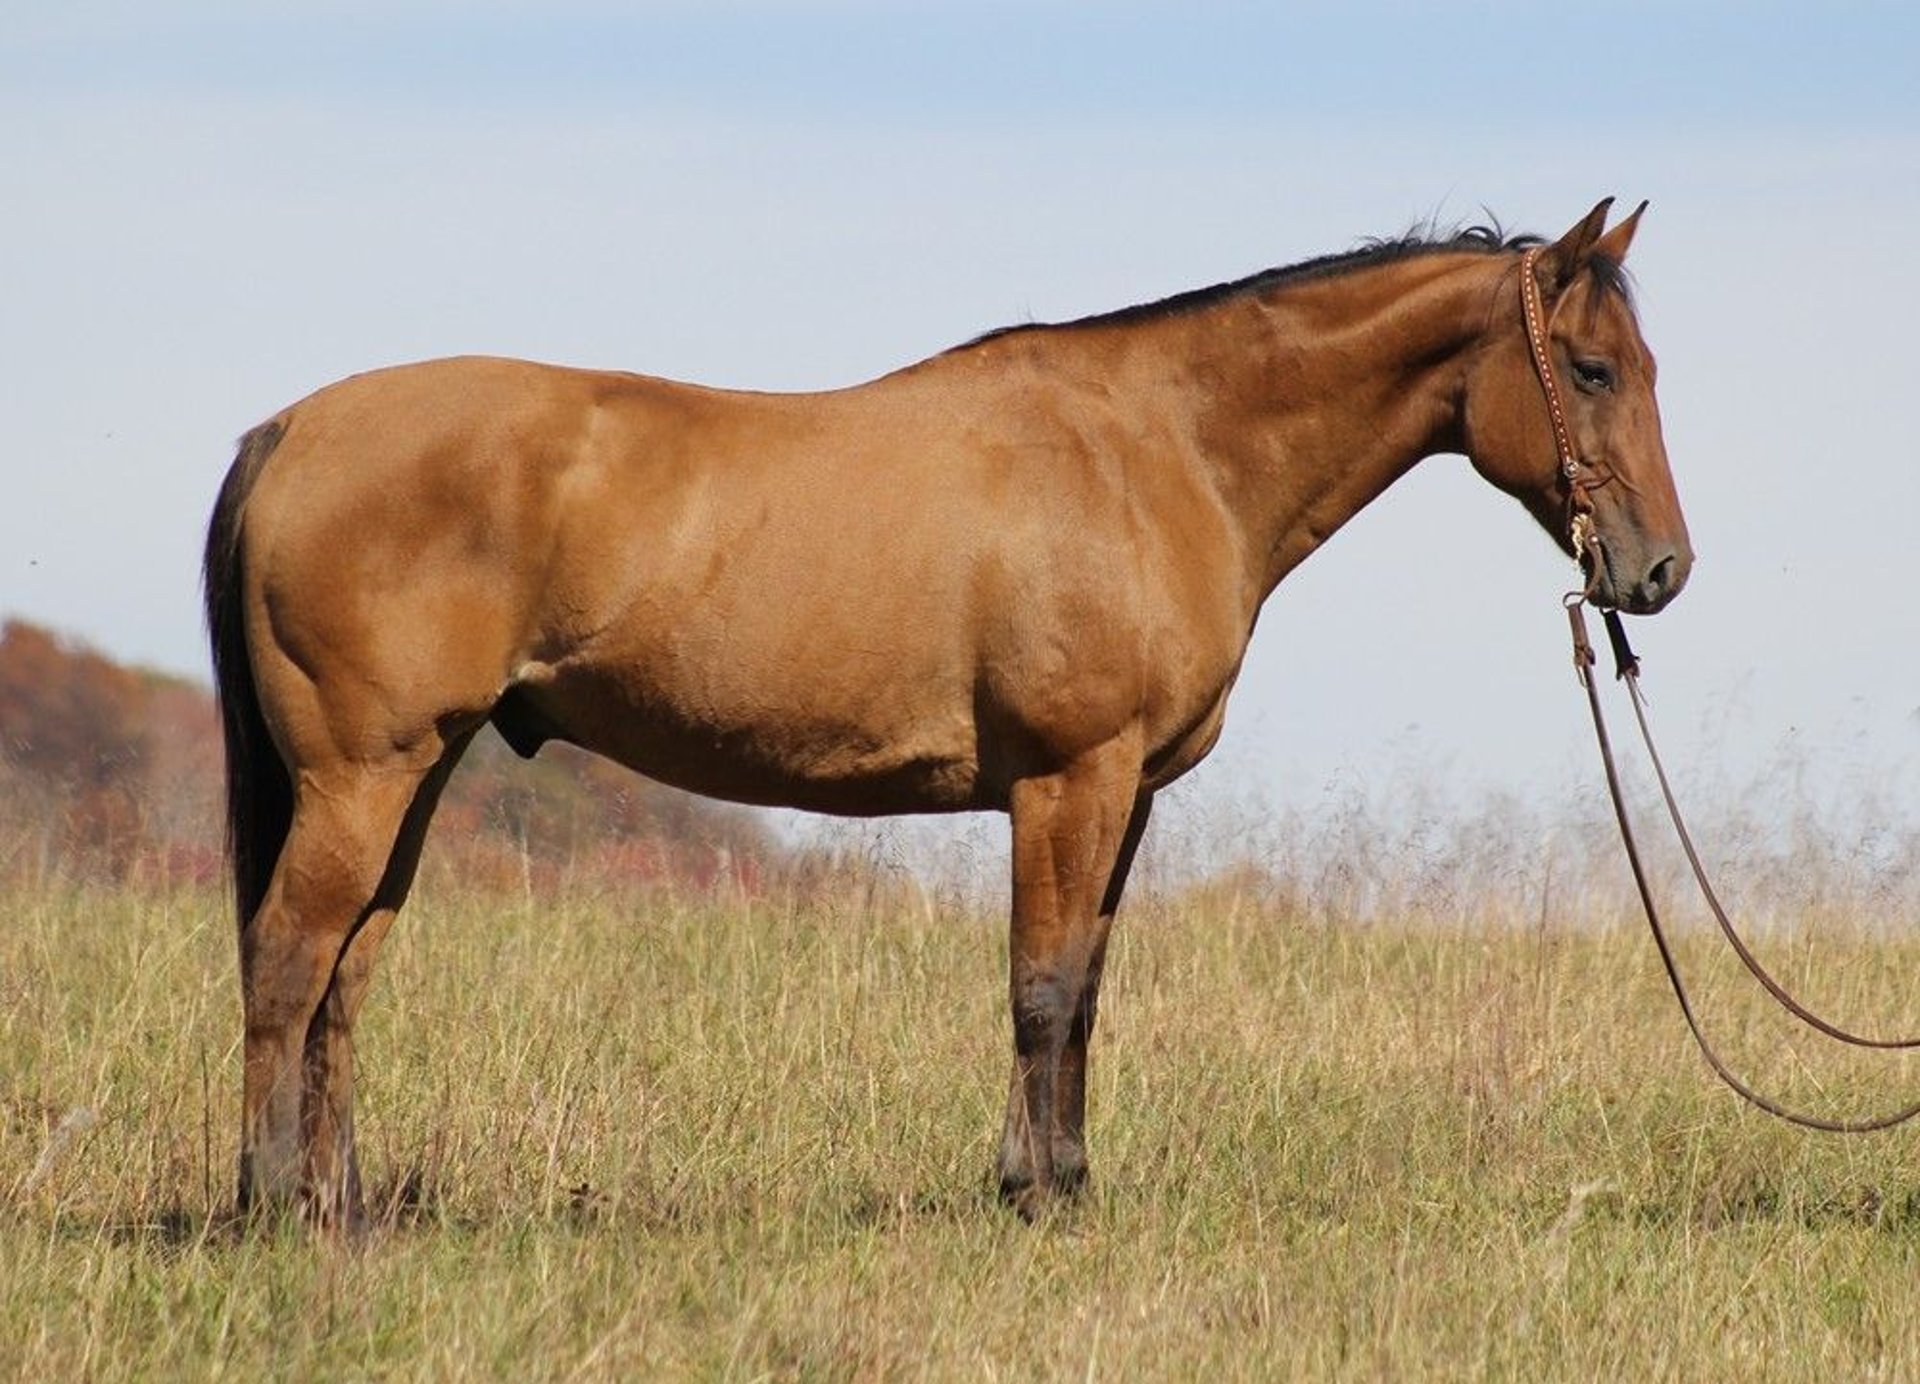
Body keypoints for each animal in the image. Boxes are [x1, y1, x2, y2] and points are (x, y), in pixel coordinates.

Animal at [203, 198, 1691, 1229]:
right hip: (361, 775)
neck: (1160, 451)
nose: (1660, 572)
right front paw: (1031, 1196)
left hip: (415, 776)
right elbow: (1041, 987)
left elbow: (1085, 990)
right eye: (1594, 369)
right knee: (286, 961)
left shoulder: (1124, 795)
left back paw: (341, 1207)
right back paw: (270, 1204)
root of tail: (285, 432)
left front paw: (1070, 1182)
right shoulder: (1068, 780)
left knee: (345, 981)